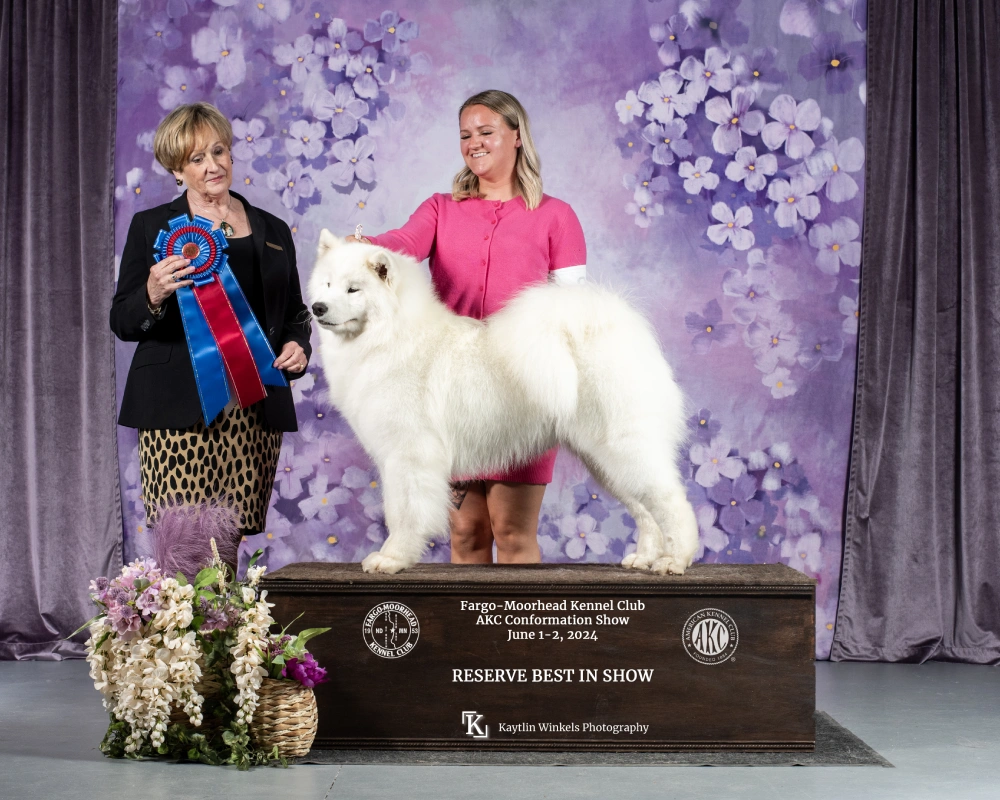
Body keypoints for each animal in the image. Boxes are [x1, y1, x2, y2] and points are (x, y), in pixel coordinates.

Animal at [308, 231, 700, 576]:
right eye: (326, 284)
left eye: (353, 289)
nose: (317, 307)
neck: (389, 336)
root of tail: (617, 328)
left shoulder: (409, 455)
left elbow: (403, 514)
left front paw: (392, 559)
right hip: (604, 461)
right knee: (645, 510)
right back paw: (645, 558)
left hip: (623, 447)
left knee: (671, 501)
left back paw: (674, 560)